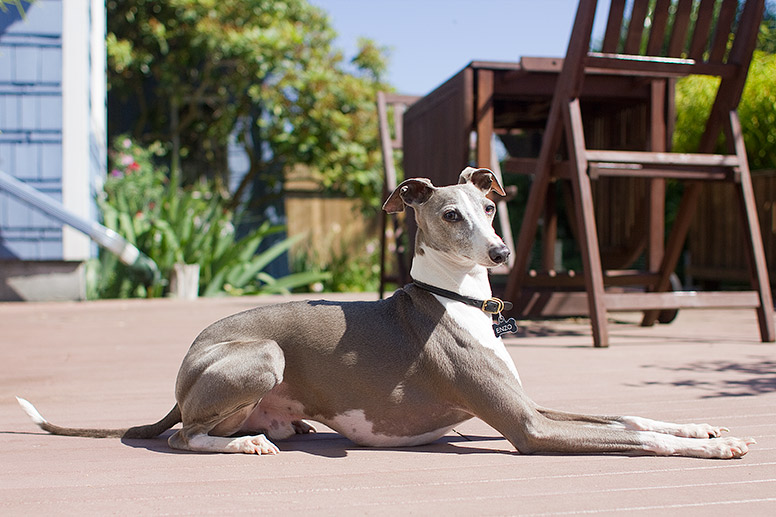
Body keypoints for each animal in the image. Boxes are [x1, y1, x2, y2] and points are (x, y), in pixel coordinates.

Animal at [15, 166, 756, 456]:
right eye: (451, 214)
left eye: (489, 207)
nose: (499, 249)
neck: (456, 301)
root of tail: (182, 372)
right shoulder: (529, 427)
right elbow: (638, 437)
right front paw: (712, 448)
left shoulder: (532, 407)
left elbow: (630, 415)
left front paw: (703, 427)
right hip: (262, 353)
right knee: (180, 437)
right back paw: (243, 442)